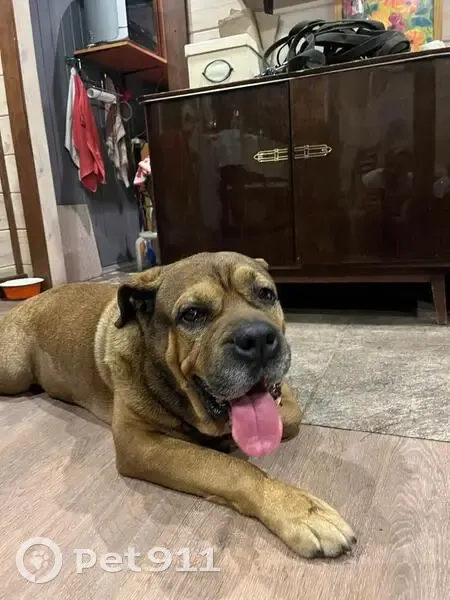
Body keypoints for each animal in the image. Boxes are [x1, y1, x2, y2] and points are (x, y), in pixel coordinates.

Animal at [0, 251, 355, 558]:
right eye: (192, 314)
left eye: (266, 294)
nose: (257, 339)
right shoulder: (139, 443)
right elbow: (230, 468)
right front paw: (300, 510)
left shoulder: (284, 400)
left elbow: (290, 417)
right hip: (13, 370)